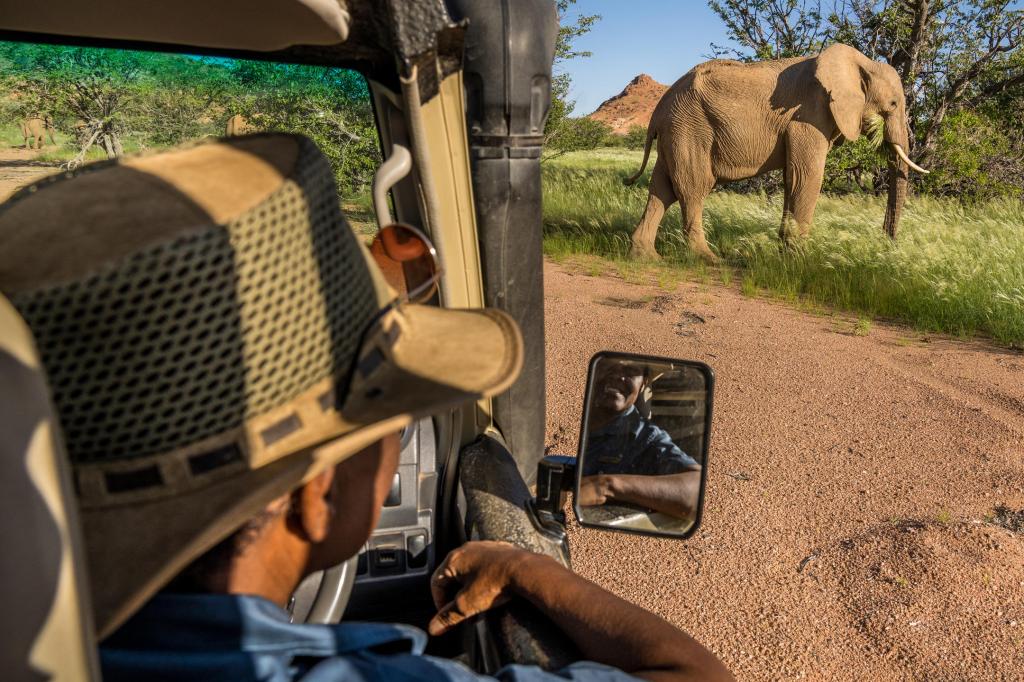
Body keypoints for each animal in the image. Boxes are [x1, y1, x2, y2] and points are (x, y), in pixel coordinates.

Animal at [626, 43, 929, 262]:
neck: (860, 62)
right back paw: (708, 259)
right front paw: (801, 262)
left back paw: (646, 257)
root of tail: (658, 111)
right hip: (689, 128)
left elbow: (792, 179)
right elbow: (806, 177)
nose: (887, 243)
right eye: (893, 104)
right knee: (694, 188)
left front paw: (785, 255)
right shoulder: (808, 117)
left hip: (676, 130)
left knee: (662, 189)